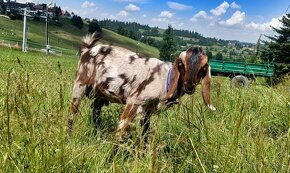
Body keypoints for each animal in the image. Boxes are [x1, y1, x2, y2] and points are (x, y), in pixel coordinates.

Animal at [66, 33, 215, 140]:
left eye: (203, 68)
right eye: (182, 65)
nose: (189, 86)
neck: (165, 79)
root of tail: (87, 49)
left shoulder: (148, 110)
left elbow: (146, 134)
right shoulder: (134, 101)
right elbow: (120, 132)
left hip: (101, 94)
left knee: (95, 110)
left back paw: (98, 133)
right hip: (80, 83)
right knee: (72, 112)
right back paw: (69, 135)